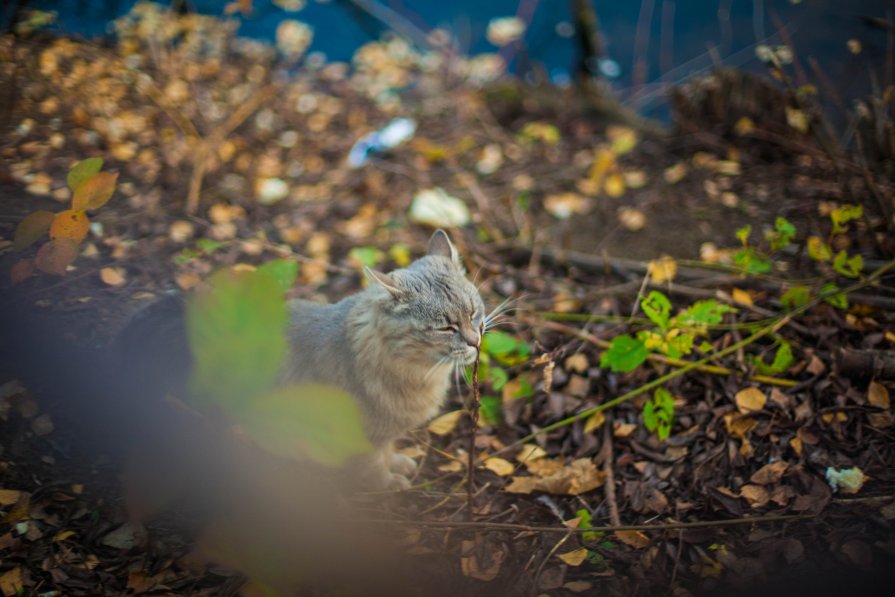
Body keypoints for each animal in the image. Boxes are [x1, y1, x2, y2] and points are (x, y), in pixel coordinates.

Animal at [284, 229, 486, 488]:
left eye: (473, 313)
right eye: (446, 328)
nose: (475, 341)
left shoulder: (384, 434)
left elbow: (388, 450)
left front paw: (397, 464)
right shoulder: (363, 437)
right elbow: (374, 464)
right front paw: (388, 484)